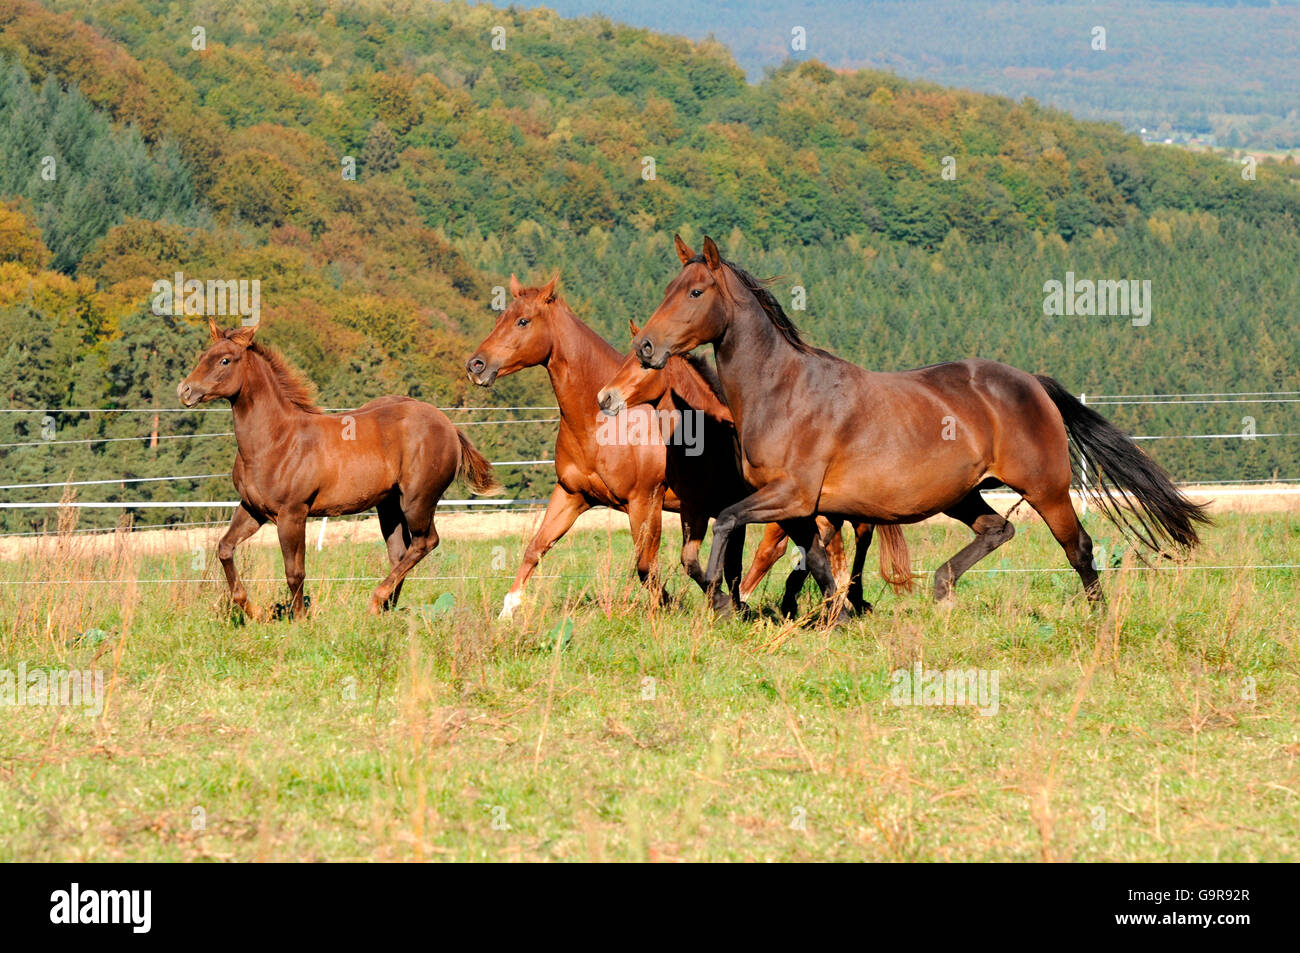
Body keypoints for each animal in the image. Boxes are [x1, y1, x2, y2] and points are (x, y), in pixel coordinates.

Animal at [174, 319, 496, 616]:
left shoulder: (293, 513)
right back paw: (387, 609)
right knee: (399, 552)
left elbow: (295, 572)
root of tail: (449, 426)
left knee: (425, 542)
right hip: (389, 506)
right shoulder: (253, 509)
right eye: (203, 355)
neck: (275, 440)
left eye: (225, 360)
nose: (185, 390)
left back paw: (377, 600)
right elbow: (225, 548)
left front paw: (300, 620)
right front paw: (252, 611)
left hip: (418, 501)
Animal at [467, 273, 754, 616]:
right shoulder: (571, 495)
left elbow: (646, 566)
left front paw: (668, 606)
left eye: (523, 321)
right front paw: (508, 610)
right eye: (500, 319)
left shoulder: (645, 503)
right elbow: (535, 547)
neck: (602, 426)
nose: (476, 365)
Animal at [629, 236, 1206, 616]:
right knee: (998, 529)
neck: (784, 391)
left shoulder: (791, 495)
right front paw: (841, 615)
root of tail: (1033, 383)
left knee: (1079, 548)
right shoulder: (801, 507)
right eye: (668, 288)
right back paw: (942, 590)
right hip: (962, 493)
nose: (646, 347)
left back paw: (1098, 618)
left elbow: (728, 522)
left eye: (696, 293)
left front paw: (722, 601)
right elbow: (814, 561)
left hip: (1047, 488)